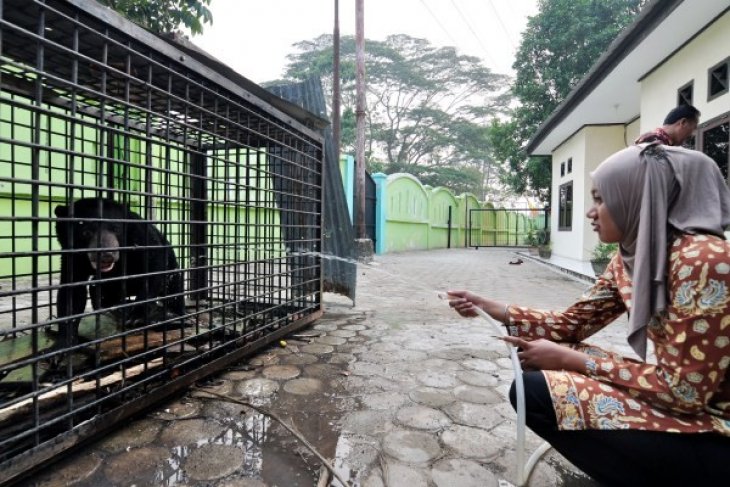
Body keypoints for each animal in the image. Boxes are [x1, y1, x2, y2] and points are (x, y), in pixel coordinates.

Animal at [54, 196, 185, 348]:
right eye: (85, 232)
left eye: (116, 229)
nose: (106, 254)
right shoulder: (72, 256)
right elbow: (72, 291)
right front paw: (64, 344)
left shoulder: (140, 234)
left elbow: (154, 263)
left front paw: (137, 316)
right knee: (97, 289)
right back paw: (115, 307)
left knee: (174, 287)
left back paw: (174, 316)